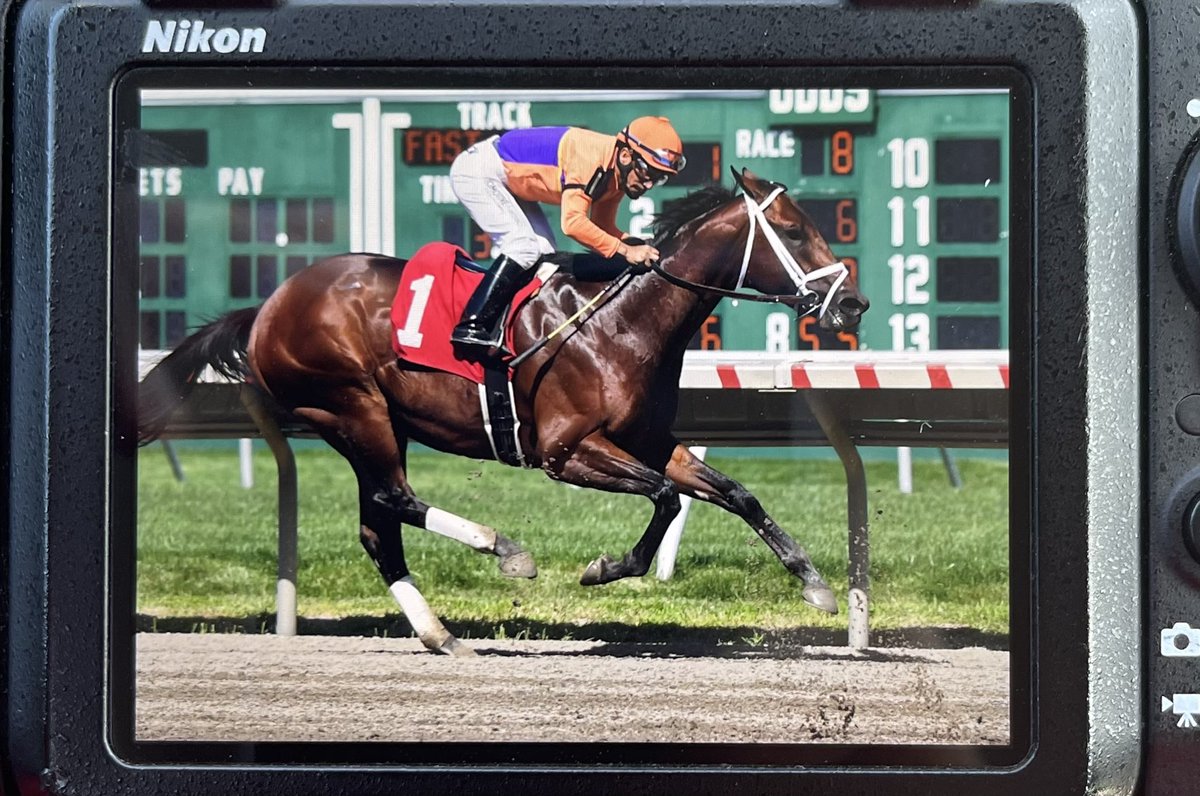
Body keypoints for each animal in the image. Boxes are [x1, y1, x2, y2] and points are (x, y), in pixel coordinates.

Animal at [138, 168, 870, 657]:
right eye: (792, 229)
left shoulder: (650, 437)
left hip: (370, 420)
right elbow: (664, 498)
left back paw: (439, 634)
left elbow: (736, 494)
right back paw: (505, 549)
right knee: (395, 499)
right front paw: (605, 568)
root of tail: (266, 306)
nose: (854, 304)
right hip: (350, 406)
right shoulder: (564, 451)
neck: (621, 323)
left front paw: (815, 584)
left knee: (379, 527)